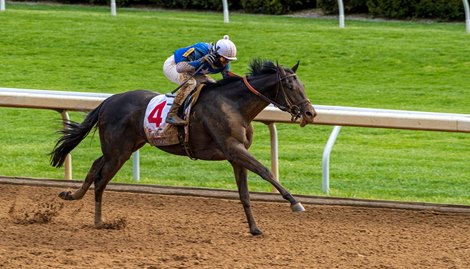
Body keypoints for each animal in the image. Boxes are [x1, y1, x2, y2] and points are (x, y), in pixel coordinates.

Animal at [50, 59, 316, 234]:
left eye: (302, 85)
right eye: (291, 87)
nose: (311, 113)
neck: (233, 104)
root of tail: (108, 101)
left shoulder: (235, 154)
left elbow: (244, 193)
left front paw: (254, 228)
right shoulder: (233, 148)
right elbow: (266, 171)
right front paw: (295, 203)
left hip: (122, 148)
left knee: (95, 167)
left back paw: (72, 195)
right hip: (119, 151)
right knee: (101, 179)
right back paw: (98, 220)